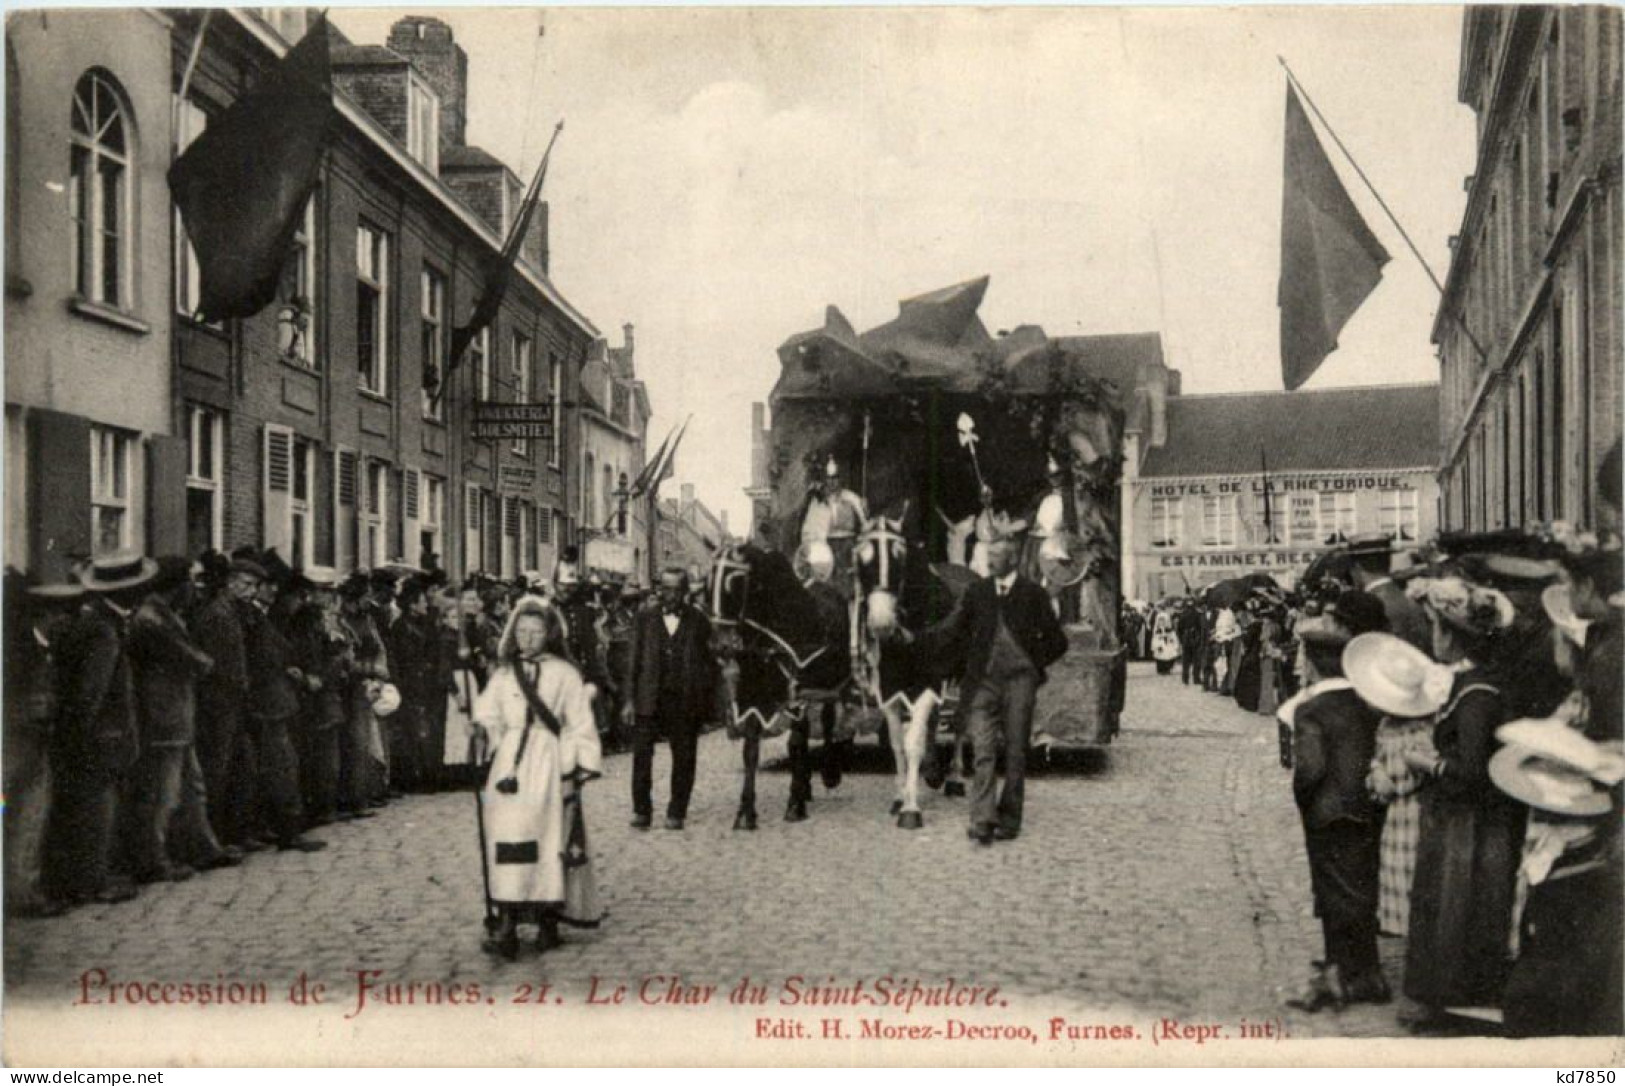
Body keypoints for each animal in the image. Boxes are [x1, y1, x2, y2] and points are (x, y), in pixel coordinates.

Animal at [708, 539, 851, 825]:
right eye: (708, 582)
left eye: (735, 581)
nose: (721, 646)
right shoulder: (752, 697)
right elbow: (751, 749)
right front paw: (746, 812)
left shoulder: (796, 695)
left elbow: (795, 742)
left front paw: (794, 804)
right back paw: (806, 785)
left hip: (828, 685)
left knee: (827, 721)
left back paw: (829, 773)